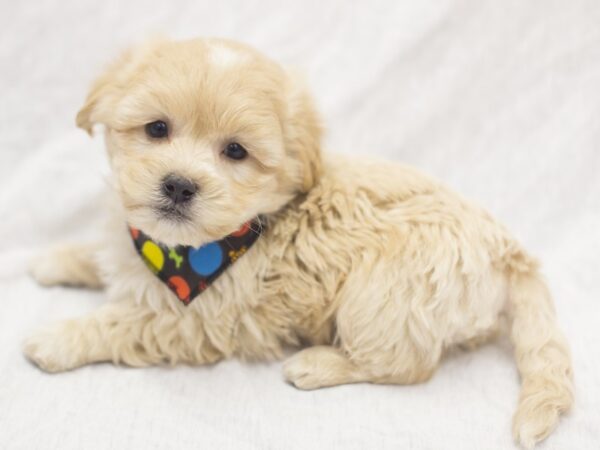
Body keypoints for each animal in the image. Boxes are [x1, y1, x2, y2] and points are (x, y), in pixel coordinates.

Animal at [25, 37, 576, 446]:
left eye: (236, 152)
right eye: (157, 128)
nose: (179, 185)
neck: (186, 249)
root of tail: (508, 252)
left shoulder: (199, 321)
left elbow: (123, 321)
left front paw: (58, 337)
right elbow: (106, 255)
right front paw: (57, 258)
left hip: (383, 296)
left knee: (408, 365)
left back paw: (320, 364)